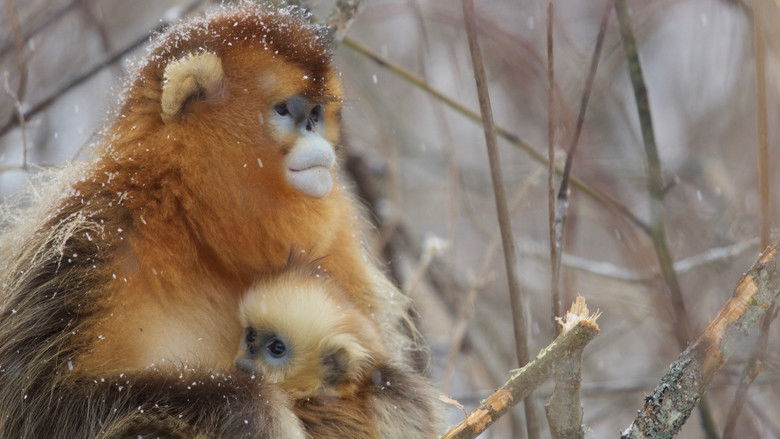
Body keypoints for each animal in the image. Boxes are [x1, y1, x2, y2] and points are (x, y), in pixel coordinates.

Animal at [0, 3, 438, 438]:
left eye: (315, 114)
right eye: (285, 110)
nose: (319, 141)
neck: (191, 220)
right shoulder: (88, 241)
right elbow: (37, 406)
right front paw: (251, 408)